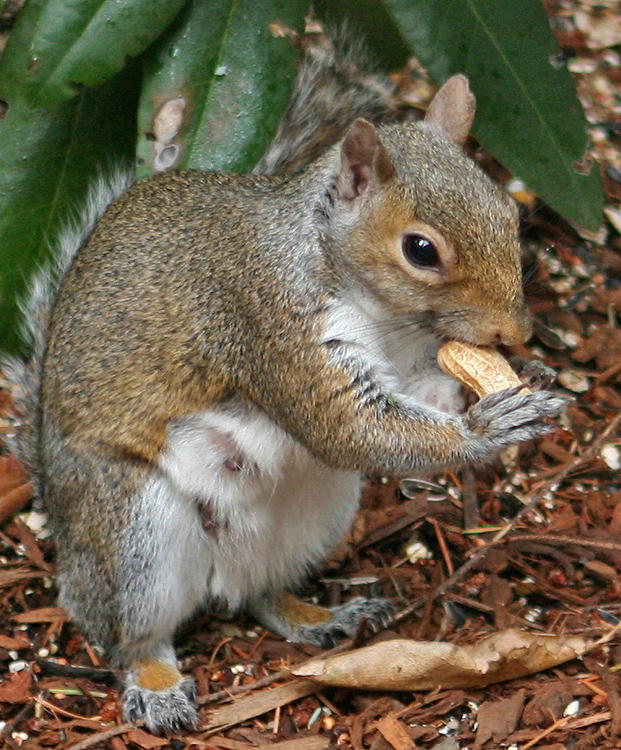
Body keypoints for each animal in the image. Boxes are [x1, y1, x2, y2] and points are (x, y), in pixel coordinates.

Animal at [4, 34, 566, 734]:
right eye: (421, 250)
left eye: (509, 214)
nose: (514, 332)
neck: (381, 313)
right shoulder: (270, 323)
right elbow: (347, 428)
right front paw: (489, 426)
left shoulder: (405, 363)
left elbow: (422, 394)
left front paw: (513, 384)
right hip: (132, 529)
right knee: (130, 632)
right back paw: (157, 683)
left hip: (314, 513)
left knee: (258, 593)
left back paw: (321, 617)